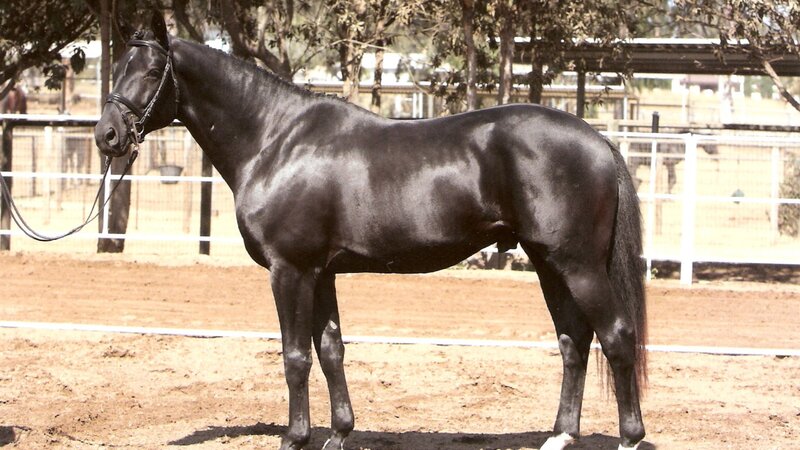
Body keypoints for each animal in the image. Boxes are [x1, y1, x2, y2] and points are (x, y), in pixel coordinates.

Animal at [95, 13, 647, 450]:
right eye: (117, 68)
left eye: (151, 71)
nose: (107, 136)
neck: (275, 140)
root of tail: (599, 140)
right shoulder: (321, 273)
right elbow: (331, 350)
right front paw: (339, 433)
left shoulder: (290, 270)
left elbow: (295, 356)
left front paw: (294, 438)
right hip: (548, 263)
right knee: (574, 342)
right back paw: (561, 435)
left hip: (578, 266)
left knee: (616, 336)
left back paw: (628, 437)